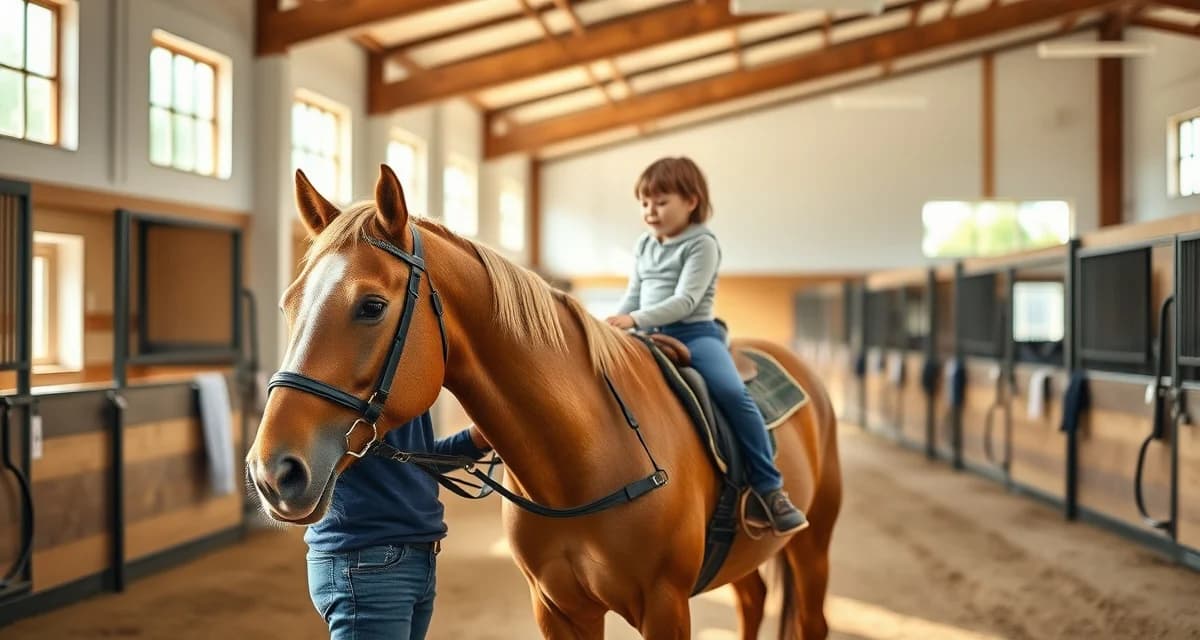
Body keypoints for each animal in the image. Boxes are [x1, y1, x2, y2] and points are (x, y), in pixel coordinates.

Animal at [246, 165, 842, 639]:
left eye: (371, 305)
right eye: (288, 304)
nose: (272, 472)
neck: (585, 458)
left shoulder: (665, 606)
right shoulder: (558, 609)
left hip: (813, 545)